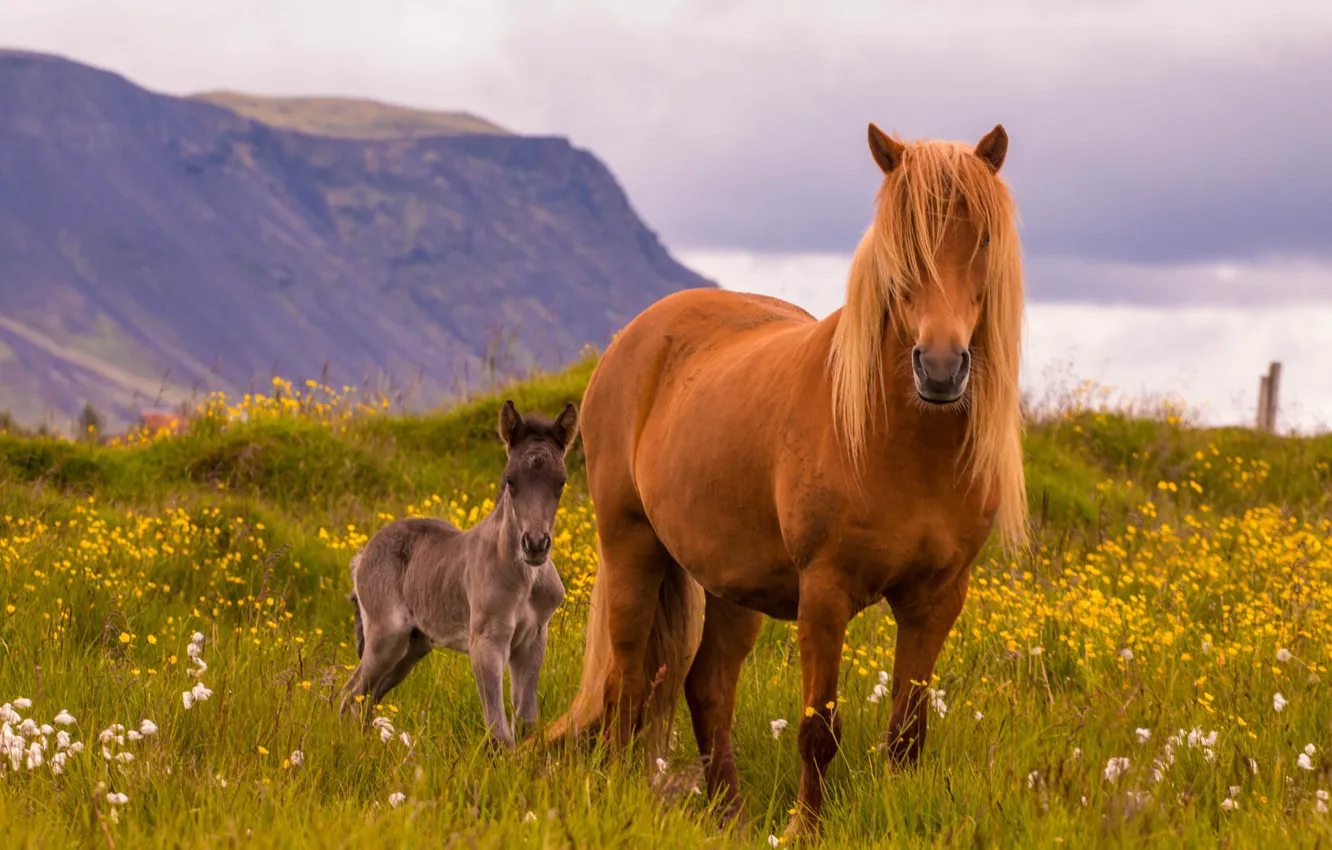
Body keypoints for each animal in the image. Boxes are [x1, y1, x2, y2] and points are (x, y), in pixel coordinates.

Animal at [340, 400, 579, 747]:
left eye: (560, 482)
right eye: (510, 480)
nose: (535, 544)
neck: (525, 578)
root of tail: (362, 555)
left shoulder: (533, 639)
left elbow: (526, 721)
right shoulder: (487, 641)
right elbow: (498, 729)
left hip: (412, 648)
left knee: (370, 697)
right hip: (387, 636)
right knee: (351, 693)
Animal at [544, 123, 1027, 839]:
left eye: (984, 239)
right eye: (899, 244)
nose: (940, 368)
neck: (905, 447)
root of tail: (633, 339)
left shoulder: (936, 599)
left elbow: (906, 733)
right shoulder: (824, 591)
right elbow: (818, 730)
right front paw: (806, 830)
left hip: (730, 583)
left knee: (706, 687)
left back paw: (730, 819)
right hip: (632, 547)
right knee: (626, 685)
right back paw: (615, 795)